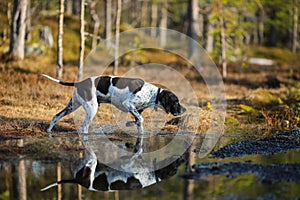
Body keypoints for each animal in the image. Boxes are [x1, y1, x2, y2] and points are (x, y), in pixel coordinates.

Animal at [42, 73, 185, 138]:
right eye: (176, 102)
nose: (184, 109)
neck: (152, 93)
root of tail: (80, 82)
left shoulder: (136, 111)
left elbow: (138, 123)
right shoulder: (128, 104)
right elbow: (140, 119)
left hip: (72, 106)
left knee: (56, 116)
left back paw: (49, 130)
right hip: (92, 109)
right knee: (83, 127)